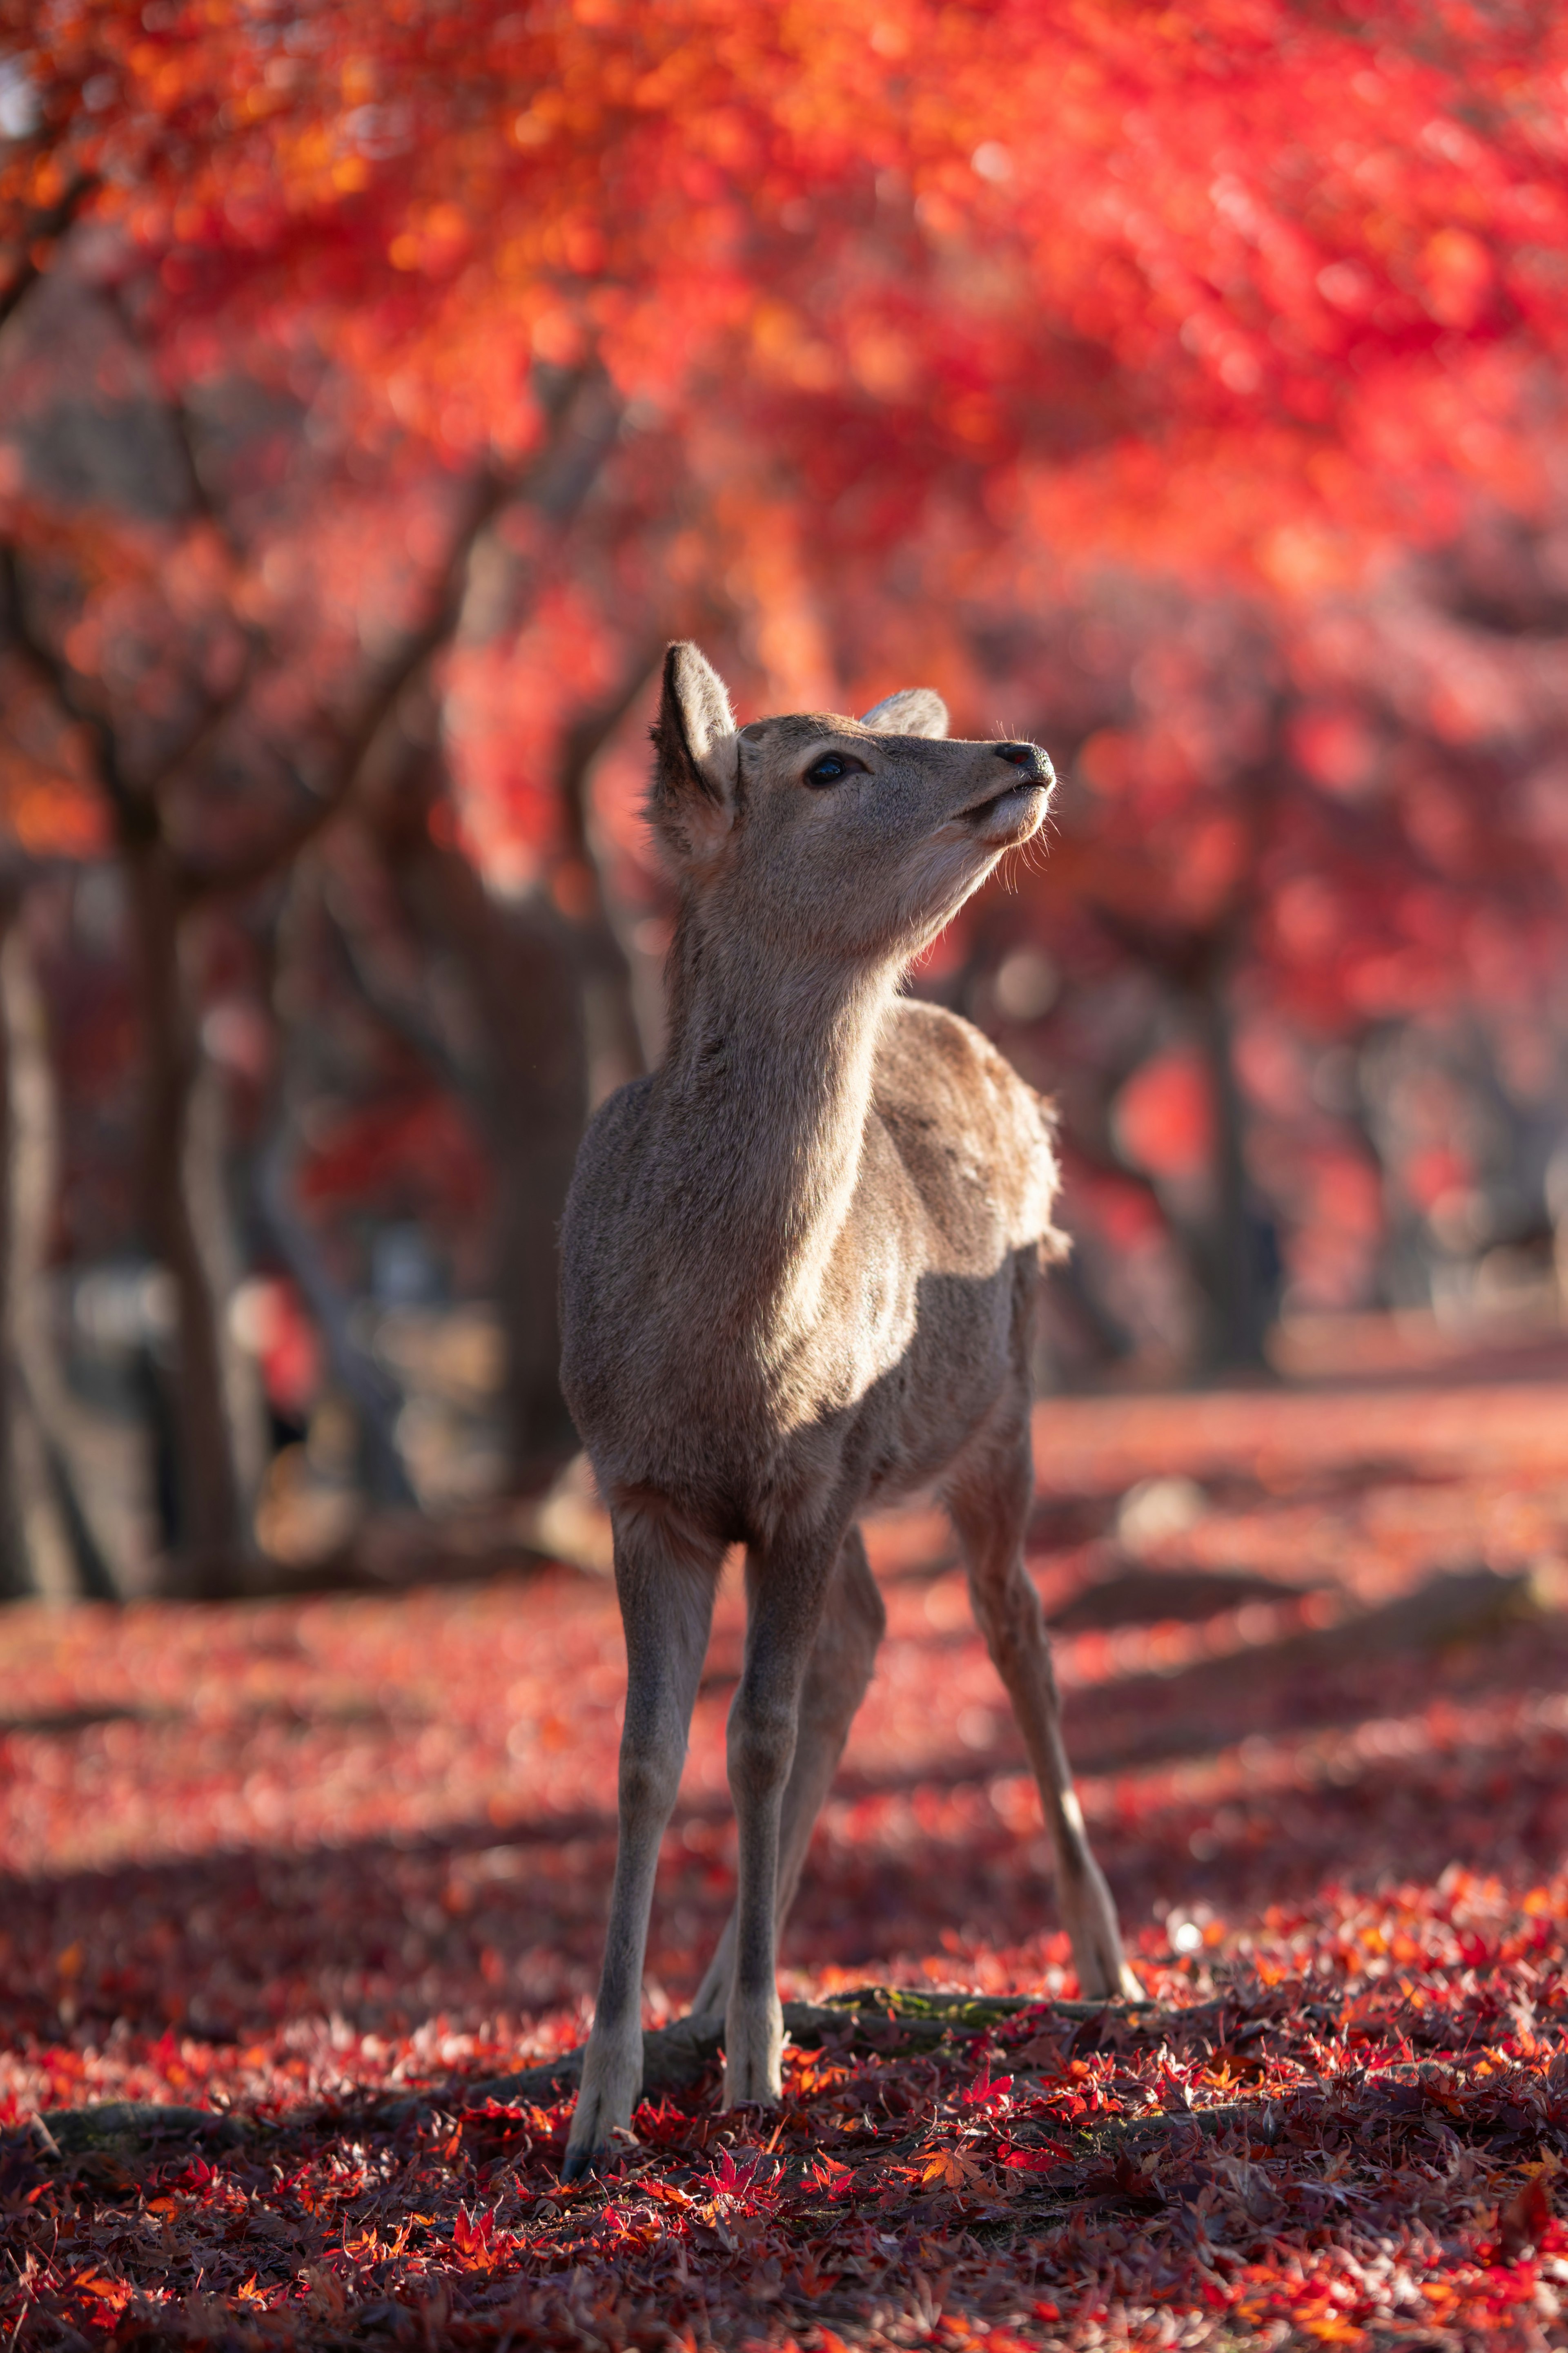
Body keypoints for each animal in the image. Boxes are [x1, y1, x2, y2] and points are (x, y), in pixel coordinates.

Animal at [557, 649, 1133, 2183]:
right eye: (829, 766)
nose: (1020, 752)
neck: (730, 1350)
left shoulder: (804, 1477)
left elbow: (752, 1736)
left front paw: (759, 2068)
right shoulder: (642, 1488)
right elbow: (645, 1759)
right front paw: (600, 2097)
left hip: (1002, 1411)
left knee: (1013, 1625)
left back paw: (1105, 1960)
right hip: (874, 1476)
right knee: (870, 1635)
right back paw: (706, 1993)